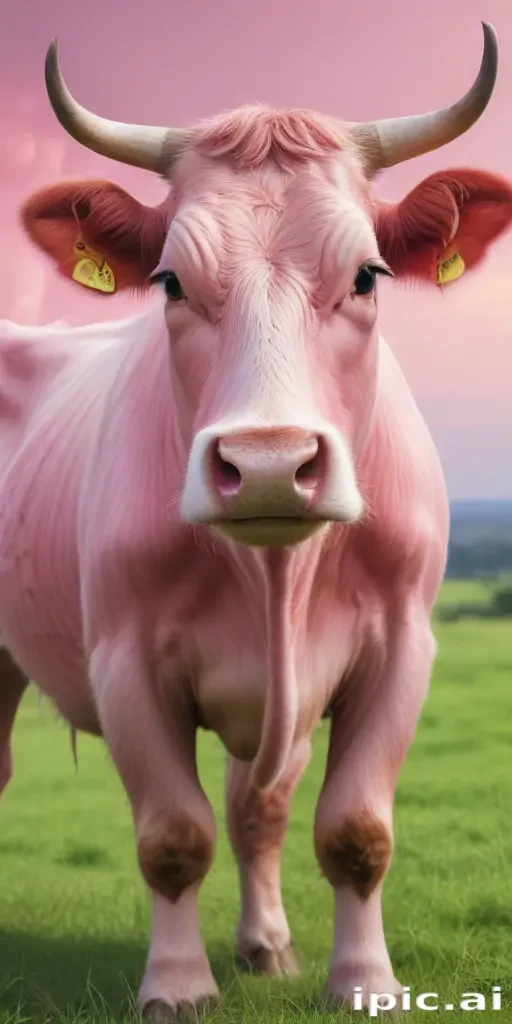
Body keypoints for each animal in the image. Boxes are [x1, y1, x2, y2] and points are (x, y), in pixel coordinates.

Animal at [1, 22, 511, 1019]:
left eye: (368, 275)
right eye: (168, 281)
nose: (270, 464)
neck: (278, 575)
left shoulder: (403, 646)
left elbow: (353, 829)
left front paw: (361, 978)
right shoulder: (124, 660)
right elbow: (173, 836)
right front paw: (177, 985)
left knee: (257, 808)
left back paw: (266, 943)